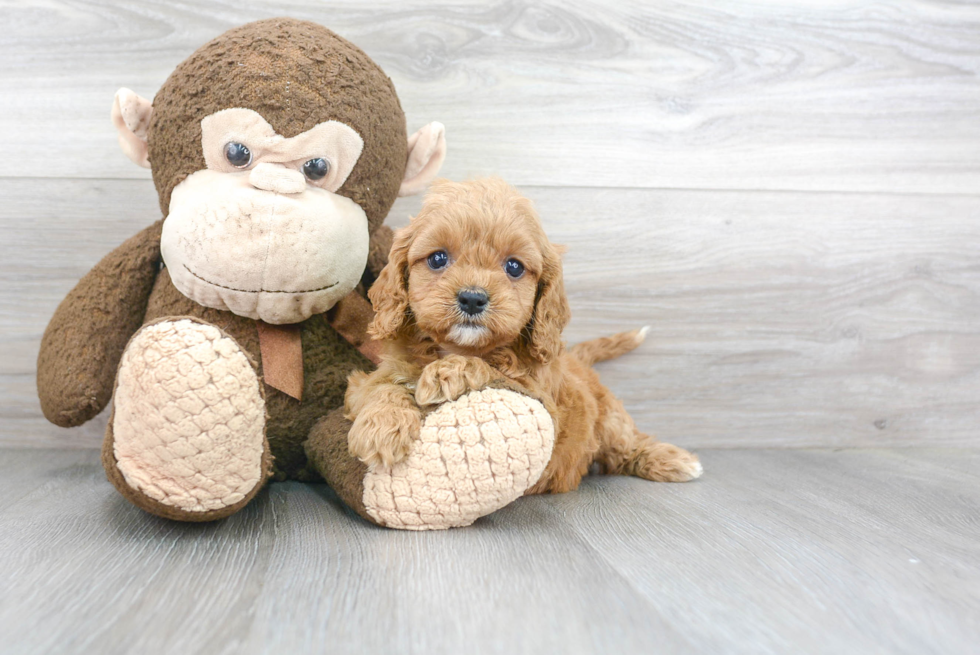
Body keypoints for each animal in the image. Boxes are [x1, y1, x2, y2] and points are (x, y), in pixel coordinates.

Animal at [342, 177, 696, 494]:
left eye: (514, 267)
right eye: (437, 258)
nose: (472, 298)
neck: (458, 347)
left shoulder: (541, 399)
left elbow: (495, 371)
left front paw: (449, 373)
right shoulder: (371, 379)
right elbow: (381, 388)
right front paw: (382, 426)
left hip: (610, 418)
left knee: (627, 445)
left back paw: (674, 461)